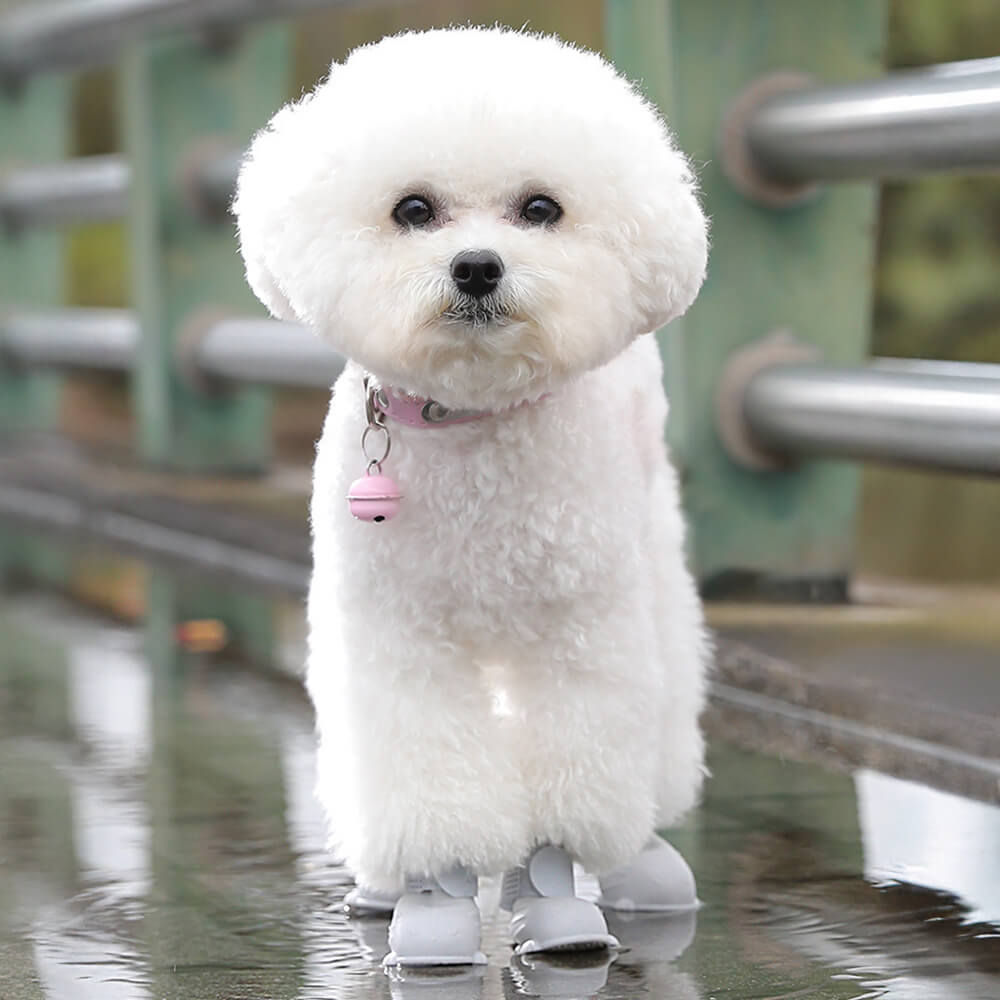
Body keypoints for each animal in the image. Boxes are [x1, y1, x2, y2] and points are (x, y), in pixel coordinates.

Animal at [236, 27, 712, 964]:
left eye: (541, 209)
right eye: (414, 209)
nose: (478, 267)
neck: (471, 416)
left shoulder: (576, 634)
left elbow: (574, 772)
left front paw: (556, 896)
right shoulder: (403, 641)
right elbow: (426, 775)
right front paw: (438, 901)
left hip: (651, 563)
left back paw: (643, 860)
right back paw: (386, 889)